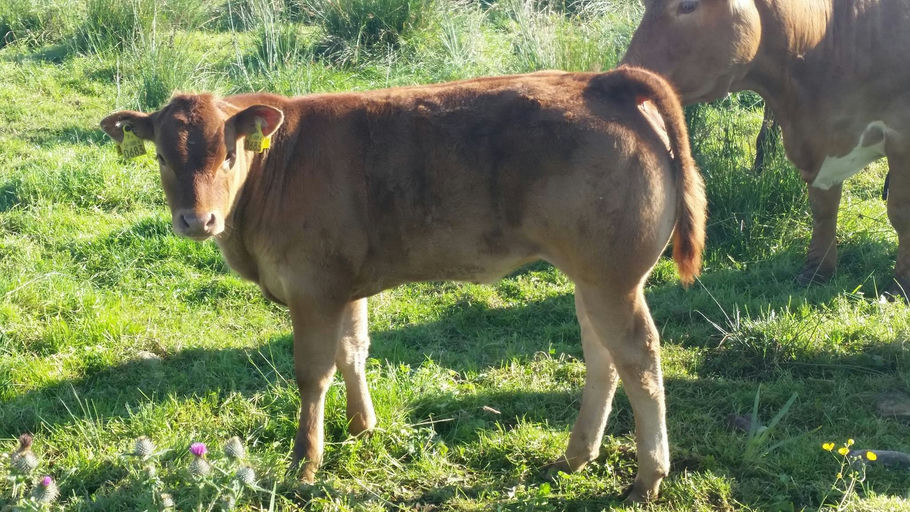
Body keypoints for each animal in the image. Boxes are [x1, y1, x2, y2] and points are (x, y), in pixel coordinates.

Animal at [100, 66, 706, 502]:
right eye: (161, 155)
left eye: (229, 154)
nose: (196, 220)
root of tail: (601, 79)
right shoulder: (343, 285)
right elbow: (353, 351)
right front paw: (361, 427)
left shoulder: (312, 287)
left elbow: (312, 373)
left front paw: (304, 461)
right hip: (590, 277)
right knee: (602, 357)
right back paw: (576, 456)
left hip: (612, 278)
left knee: (639, 358)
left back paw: (646, 478)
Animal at [623, 0, 910, 297]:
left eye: (688, 5)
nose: (625, 76)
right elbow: (823, 209)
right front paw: (816, 272)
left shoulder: (901, 137)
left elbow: (901, 213)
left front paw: (902, 284)